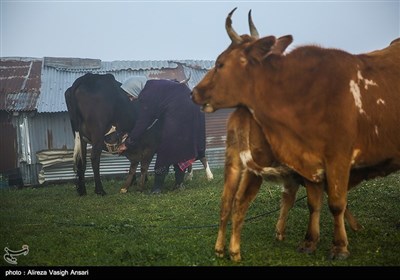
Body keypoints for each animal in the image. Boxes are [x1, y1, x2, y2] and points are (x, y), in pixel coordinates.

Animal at [192, 7, 398, 260]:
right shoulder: (321, 162)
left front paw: (321, 241)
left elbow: (317, 201)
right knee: (238, 202)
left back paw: (223, 248)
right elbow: (326, 202)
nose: (194, 92)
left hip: (236, 163)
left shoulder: (322, 162)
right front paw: (330, 243)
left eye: (220, 64)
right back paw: (233, 249)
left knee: (229, 201)